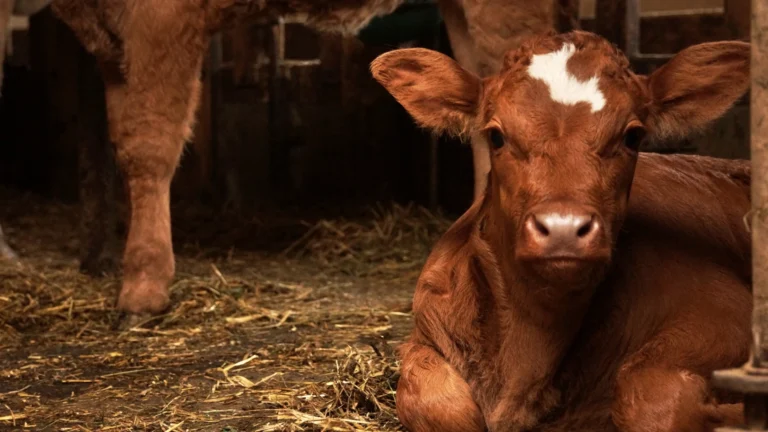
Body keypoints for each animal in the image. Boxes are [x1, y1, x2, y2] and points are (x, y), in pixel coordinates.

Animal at [370, 30, 752, 431]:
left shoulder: (723, 310)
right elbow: (437, 403)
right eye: (496, 136)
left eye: (633, 136)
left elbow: (648, 395)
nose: (563, 228)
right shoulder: (426, 336)